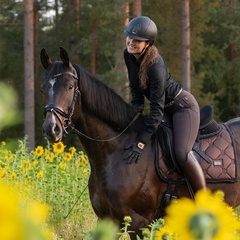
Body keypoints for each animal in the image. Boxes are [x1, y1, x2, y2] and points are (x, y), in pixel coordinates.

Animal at [40, 47, 240, 239]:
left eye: (70, 86)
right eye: (42, 88)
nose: (51, 129)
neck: (115, 151)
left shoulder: (139, 222)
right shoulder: (108, 220)